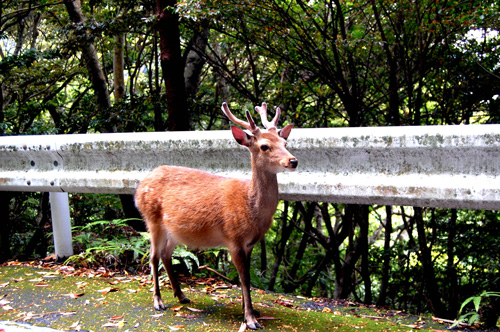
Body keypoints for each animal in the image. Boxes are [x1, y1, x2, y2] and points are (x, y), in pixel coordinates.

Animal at [134, 101, 296, 330]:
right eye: (264, 146)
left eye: (284, 141)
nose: (293, 161)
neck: (251, 210)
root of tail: (139, 188)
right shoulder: (233, 239)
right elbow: (244, 278)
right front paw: (250, 319)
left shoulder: (250, 244)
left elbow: (247, 277)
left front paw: (251, 310)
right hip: (152, 220)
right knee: (153, 256)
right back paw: (158, 301)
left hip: (173, 231)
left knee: (166, 255)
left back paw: (181, 295)